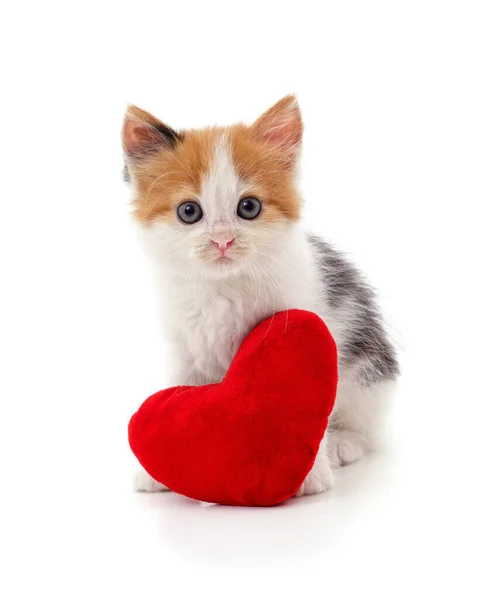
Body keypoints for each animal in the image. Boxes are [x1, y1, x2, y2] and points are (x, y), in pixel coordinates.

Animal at [122, 96, 398, 494]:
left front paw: (311, 472)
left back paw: (343, 444)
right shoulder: (184, 343)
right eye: (188, 211)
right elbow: (179, 383)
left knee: (366, 427)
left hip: (369, 375)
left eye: (248, 207)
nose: (222, 241)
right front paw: (154, 470)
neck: (224, 287)